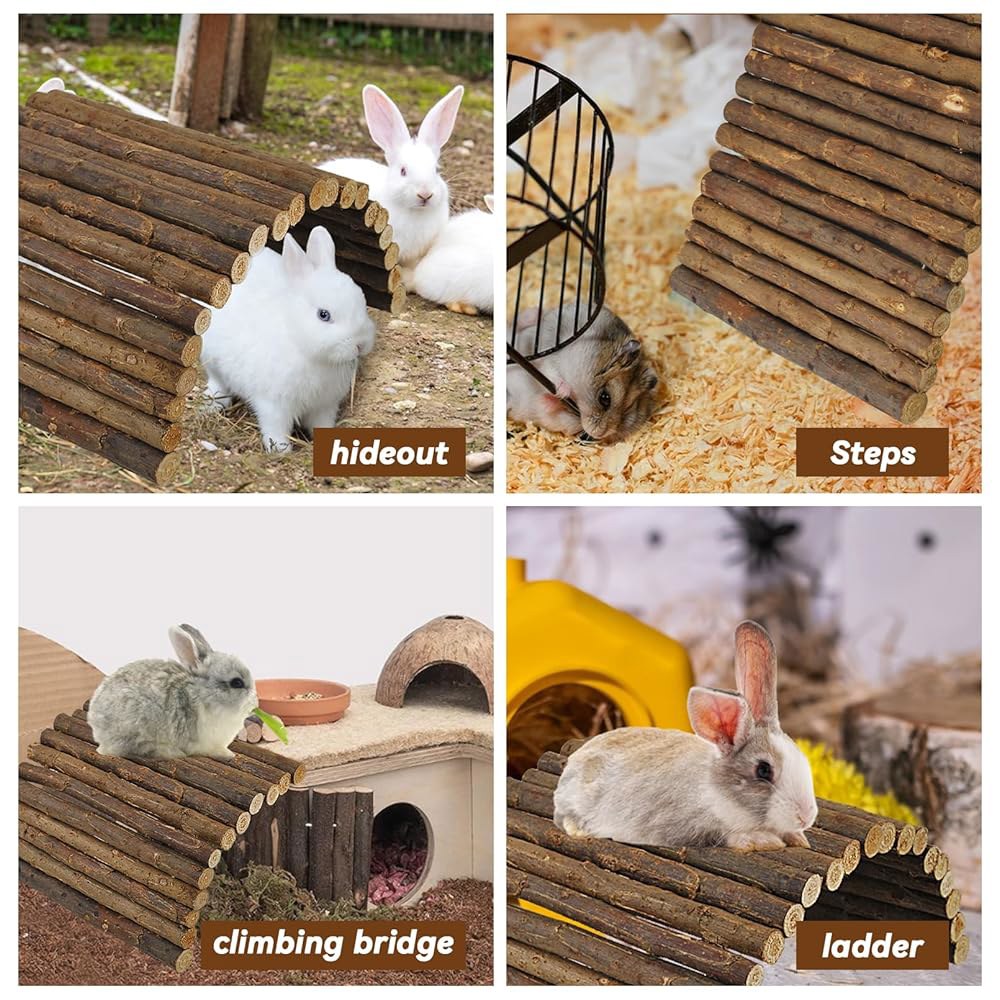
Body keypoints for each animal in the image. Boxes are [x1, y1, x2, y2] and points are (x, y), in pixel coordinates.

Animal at [201, 226, 376, 452]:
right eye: (323, 315)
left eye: (362, 302)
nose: (360, 344)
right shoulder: (274, 405)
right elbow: (276, 429)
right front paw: (281, 451)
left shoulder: (324, 406)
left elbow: (322, 424)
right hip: (212, 362)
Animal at [507, 303, 659, 443]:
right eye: (605, 398)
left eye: (628, 409)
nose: (599, 434)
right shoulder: (549, 358)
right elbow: (553, 373)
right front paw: (563, 392)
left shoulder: (562, 420)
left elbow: (552, 412)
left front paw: (550, 399)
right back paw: (533, 313)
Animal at [553, 620, 818, 851]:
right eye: (763, 770)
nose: (806, 816)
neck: (715, 789)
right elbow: (727, 836)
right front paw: (764, 841)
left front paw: (797, 838)